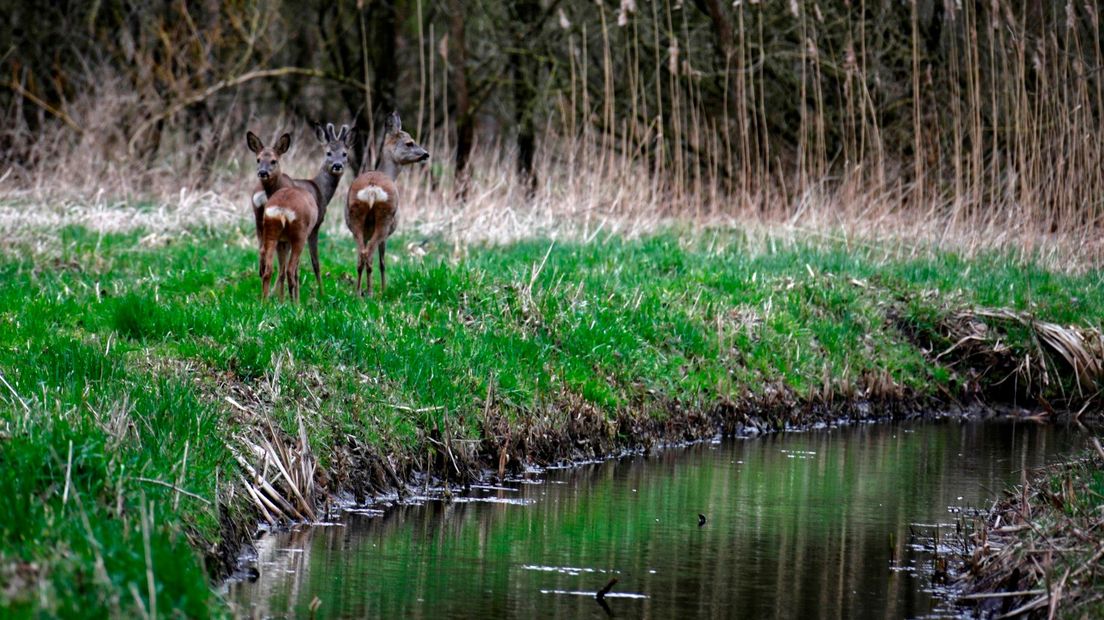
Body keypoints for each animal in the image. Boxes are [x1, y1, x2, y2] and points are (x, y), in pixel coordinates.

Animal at [243, 123, 351, 297]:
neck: (320, 190)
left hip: (260, 221)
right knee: (284, 265)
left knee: (264, 257)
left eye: (344, 153)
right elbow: (314, 262)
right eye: (328, 153)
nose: (337, 165)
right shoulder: (315, 225)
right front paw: (321, 293)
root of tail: (261, 193)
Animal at [346, 111, 428, 295]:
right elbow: (383, 262)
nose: (426, 154)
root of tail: (372, 189)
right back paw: (371, 293)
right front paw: (384, 288)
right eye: (409, 142)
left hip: (355, 218)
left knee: (361, 255)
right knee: (369, 255)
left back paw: (358, 292)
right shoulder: (387, 234)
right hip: (385, 217)